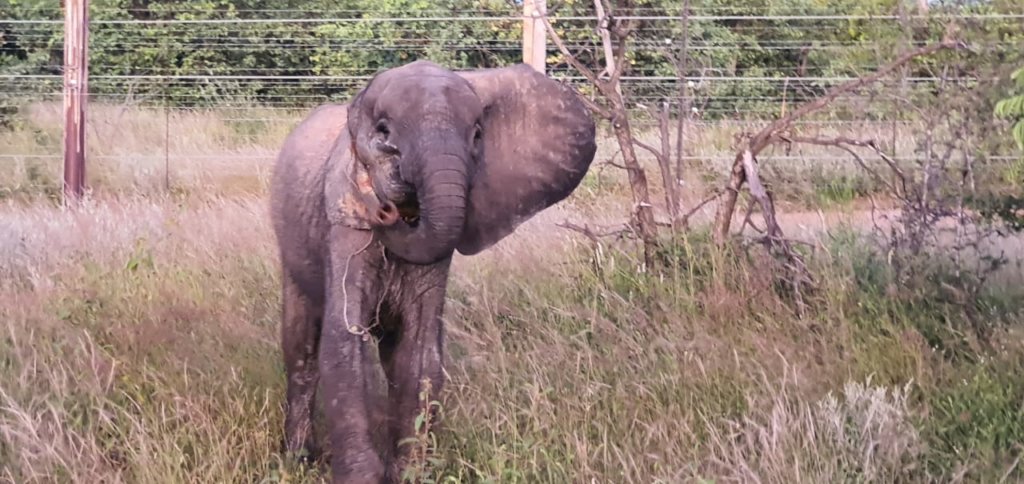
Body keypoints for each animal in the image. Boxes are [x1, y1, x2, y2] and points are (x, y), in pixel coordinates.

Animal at [268, 60, 597, 483]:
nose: (387, 207)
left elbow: (419, 354)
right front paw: (362, 477)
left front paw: (410, 474)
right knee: (301, 348)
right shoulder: (343, 222)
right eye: (384, 132)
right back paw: (298, 458)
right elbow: (344, 344)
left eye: (477, 135)